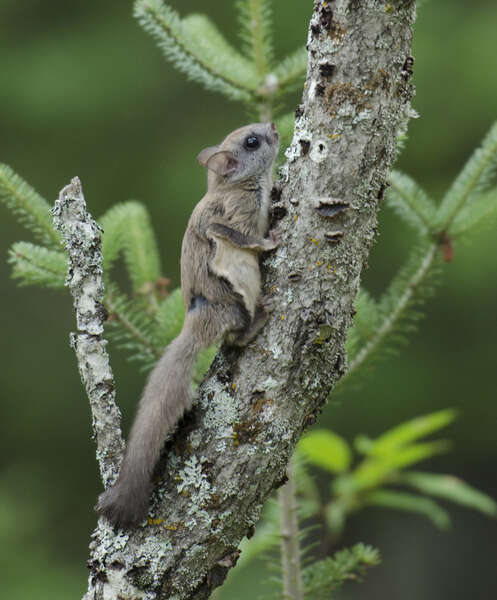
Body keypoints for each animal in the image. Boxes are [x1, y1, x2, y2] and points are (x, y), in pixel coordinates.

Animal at [96, 122, 280, 524]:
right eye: (252, 142)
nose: (275, 126)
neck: (230, 185)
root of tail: (196, 322)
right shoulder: (230, 218)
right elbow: (244, 236)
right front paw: (270, 241)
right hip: (239, 286)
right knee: (237, 335)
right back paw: (260, 318)